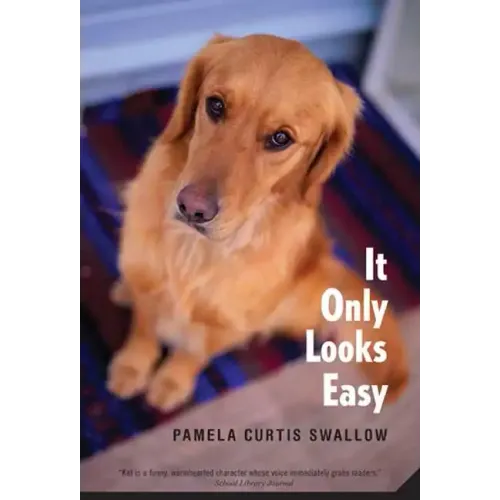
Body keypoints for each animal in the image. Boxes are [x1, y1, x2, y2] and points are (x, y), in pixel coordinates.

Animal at [107, 34, 409, 412]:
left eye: (280, 138)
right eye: (215, 105)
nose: (192, 208)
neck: (197, 252)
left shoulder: (226, 325)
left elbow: (193, 353)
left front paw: (172, 381)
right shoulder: (148, 283)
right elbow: (143, 330)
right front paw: (131, 366)